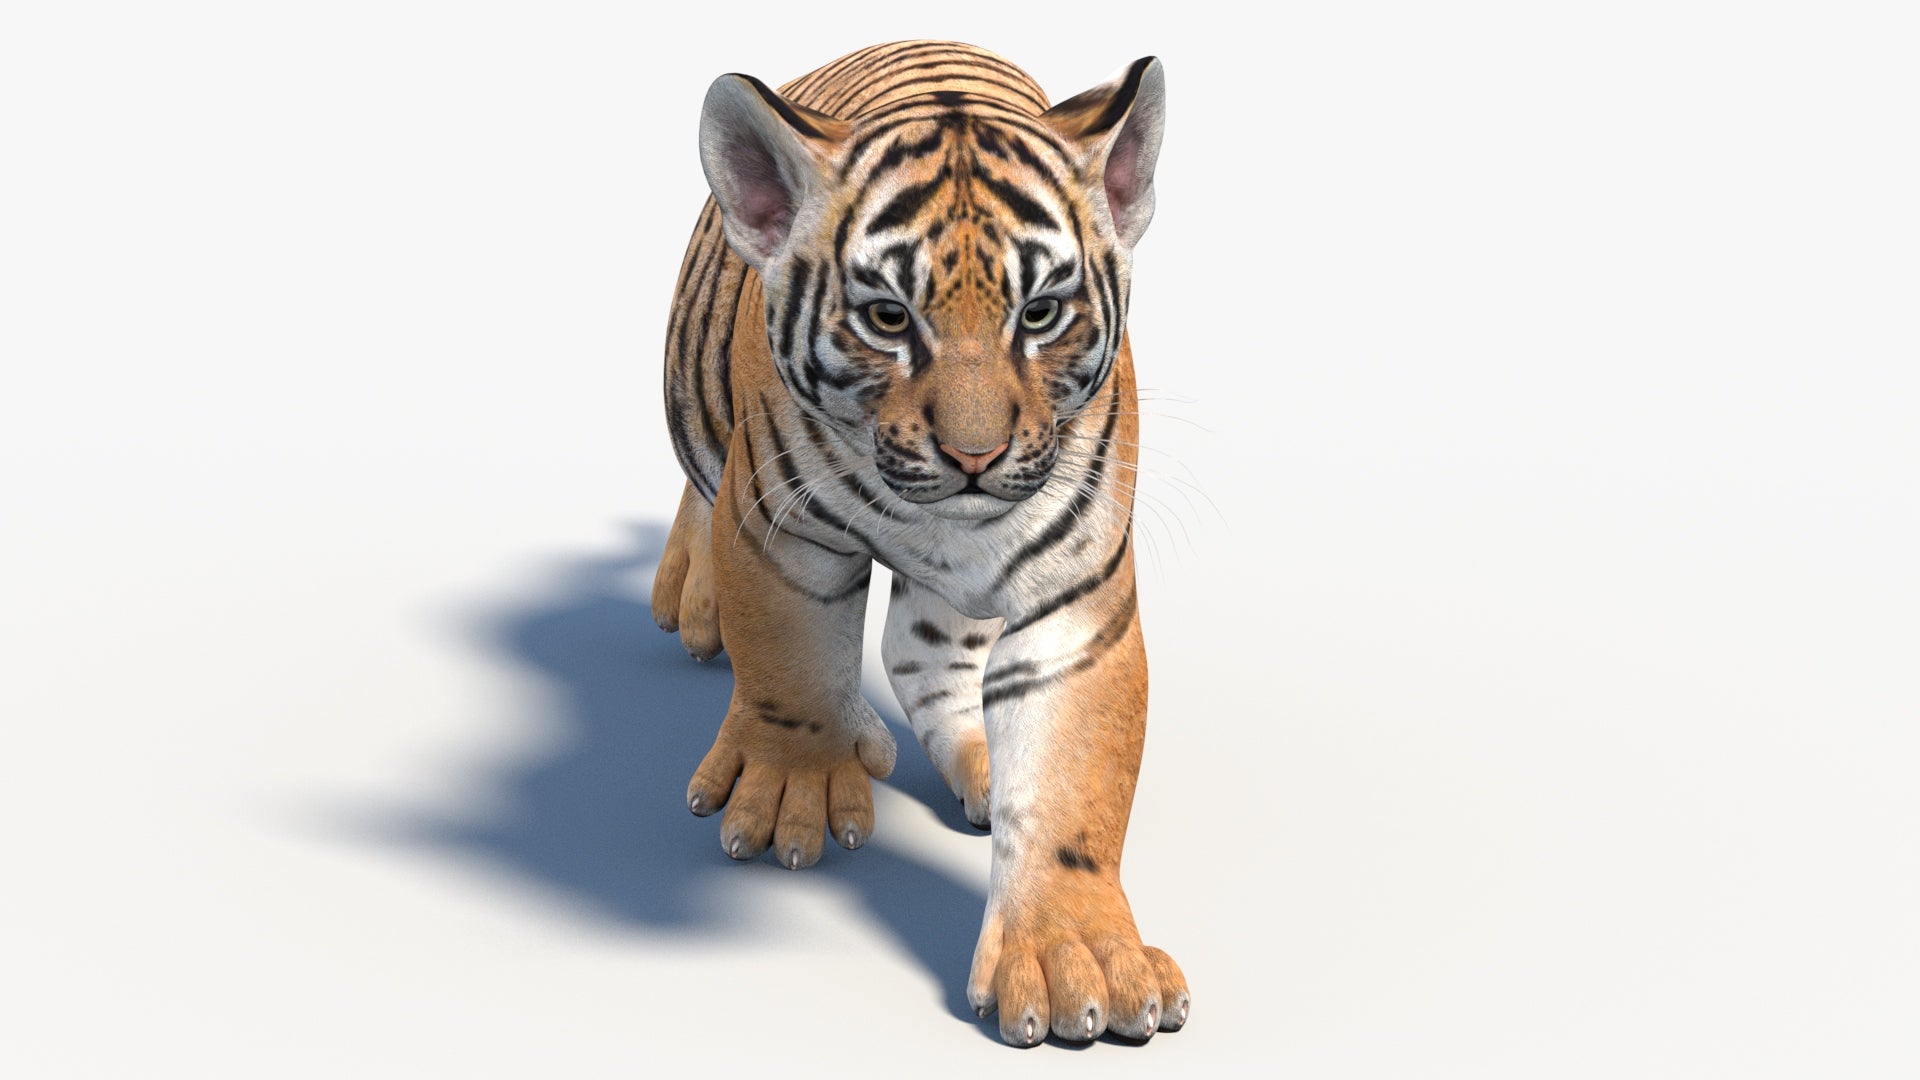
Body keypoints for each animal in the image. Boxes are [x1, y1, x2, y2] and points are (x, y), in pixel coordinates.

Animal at [648, 40, 1185, 1046]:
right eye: (888, 319)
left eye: (1041, 313)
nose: (974, 456)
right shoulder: (778, 525)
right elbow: (791, 664)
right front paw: (791, 795)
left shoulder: (1075, 604)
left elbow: (1072, 783)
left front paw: (1078, 959)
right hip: (691, 398)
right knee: (701, 490)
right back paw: (691, 602)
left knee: (920, 657)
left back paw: (974, 761)